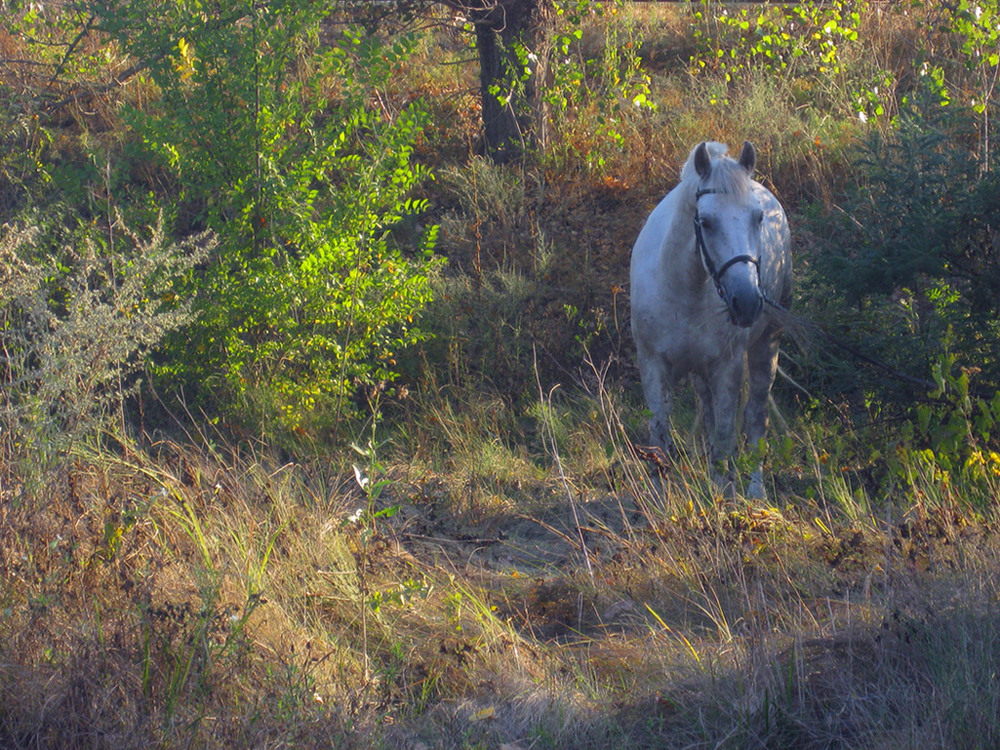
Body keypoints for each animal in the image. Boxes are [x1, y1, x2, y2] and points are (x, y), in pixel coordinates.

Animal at [632, 141, 788, 500]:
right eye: (705, 222)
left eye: (758, 218)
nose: (747, 302)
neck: (682, 289)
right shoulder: (651, 364)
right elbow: (660, 435)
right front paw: (660, 496)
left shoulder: (727, 366)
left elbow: (725, 436)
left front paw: (722, 492)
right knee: (707, 410)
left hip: (766, 347)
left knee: (755, 417)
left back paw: (755, 491)